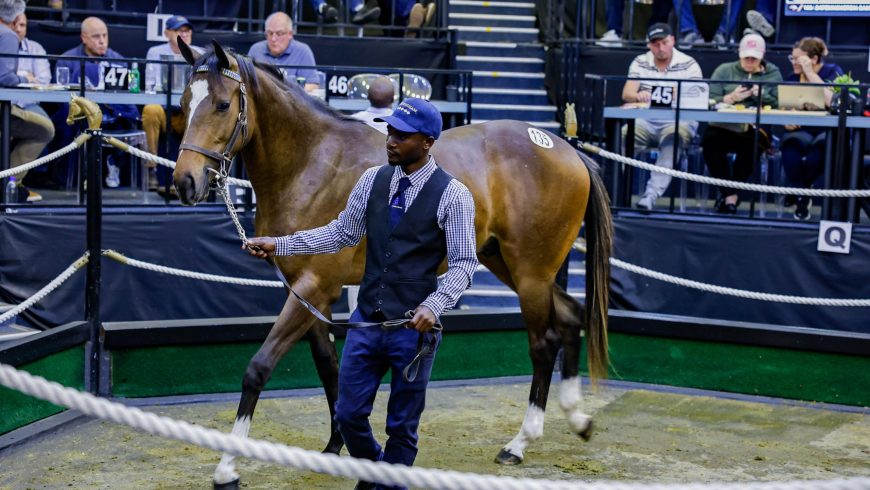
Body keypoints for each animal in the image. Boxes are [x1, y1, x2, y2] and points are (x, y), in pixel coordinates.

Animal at [173, 40, 612, 489]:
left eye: (223, 104)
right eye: (184, 104)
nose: (184, 182)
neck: (313, 162)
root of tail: (568, 150)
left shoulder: (315, 286)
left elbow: (259, 368)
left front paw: (228, 466)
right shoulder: (305, 291)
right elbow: (330, 367)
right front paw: (337, 444)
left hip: (530, 272)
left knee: (543, 343)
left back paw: (520, 442)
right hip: (506, 263)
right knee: (571, 317)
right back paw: (578, 418)